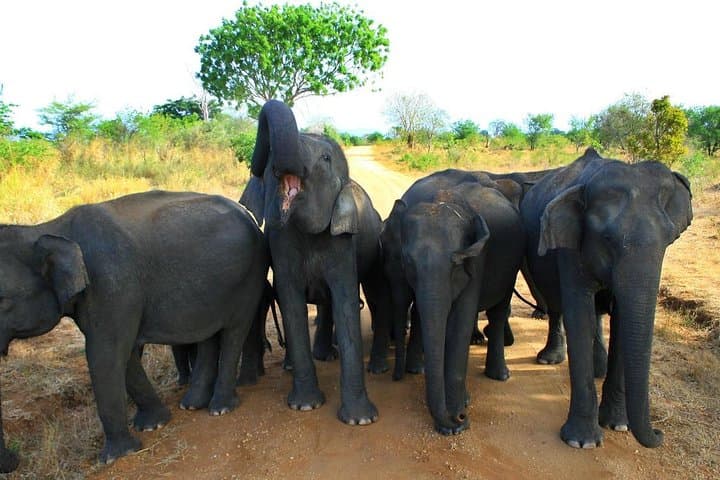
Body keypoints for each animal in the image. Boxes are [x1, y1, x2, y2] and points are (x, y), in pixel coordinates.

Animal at [0, 191, 270, 467]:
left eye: (1, 301)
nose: (15, 461)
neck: (46, 229)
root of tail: (247, 215)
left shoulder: (112, 286)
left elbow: (105, 355)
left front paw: (115, 456)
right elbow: (122, 355)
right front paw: (152, 426)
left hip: (249, 277)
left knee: (234, 331)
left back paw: (220, 408)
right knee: (209, 334)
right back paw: (193, 405)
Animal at [239, 100, 390, 425]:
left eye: (325, 158)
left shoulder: (342, 241)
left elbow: (345, 299)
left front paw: (360, 421)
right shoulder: (280, 242)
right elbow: (290, 300)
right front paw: (305, 406)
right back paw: (302, 362)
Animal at [397, 181, 526, 434]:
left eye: (456, 264)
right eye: (408, 263)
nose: (460, 417)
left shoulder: (477, 261)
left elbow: (459, 325)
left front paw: (455, 427)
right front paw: (454, 418)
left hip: (510, 271)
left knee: (498, 312)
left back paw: (499, 376)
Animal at [520, 148, 692, 449]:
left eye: (670, 239)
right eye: (607, 239)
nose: (660, 433)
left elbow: (622, 319)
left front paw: (619, 425)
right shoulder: (570, 246)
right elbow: (579, 315)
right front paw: (582, 442)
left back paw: (598, 369)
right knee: (558, 304)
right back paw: (549, 359)